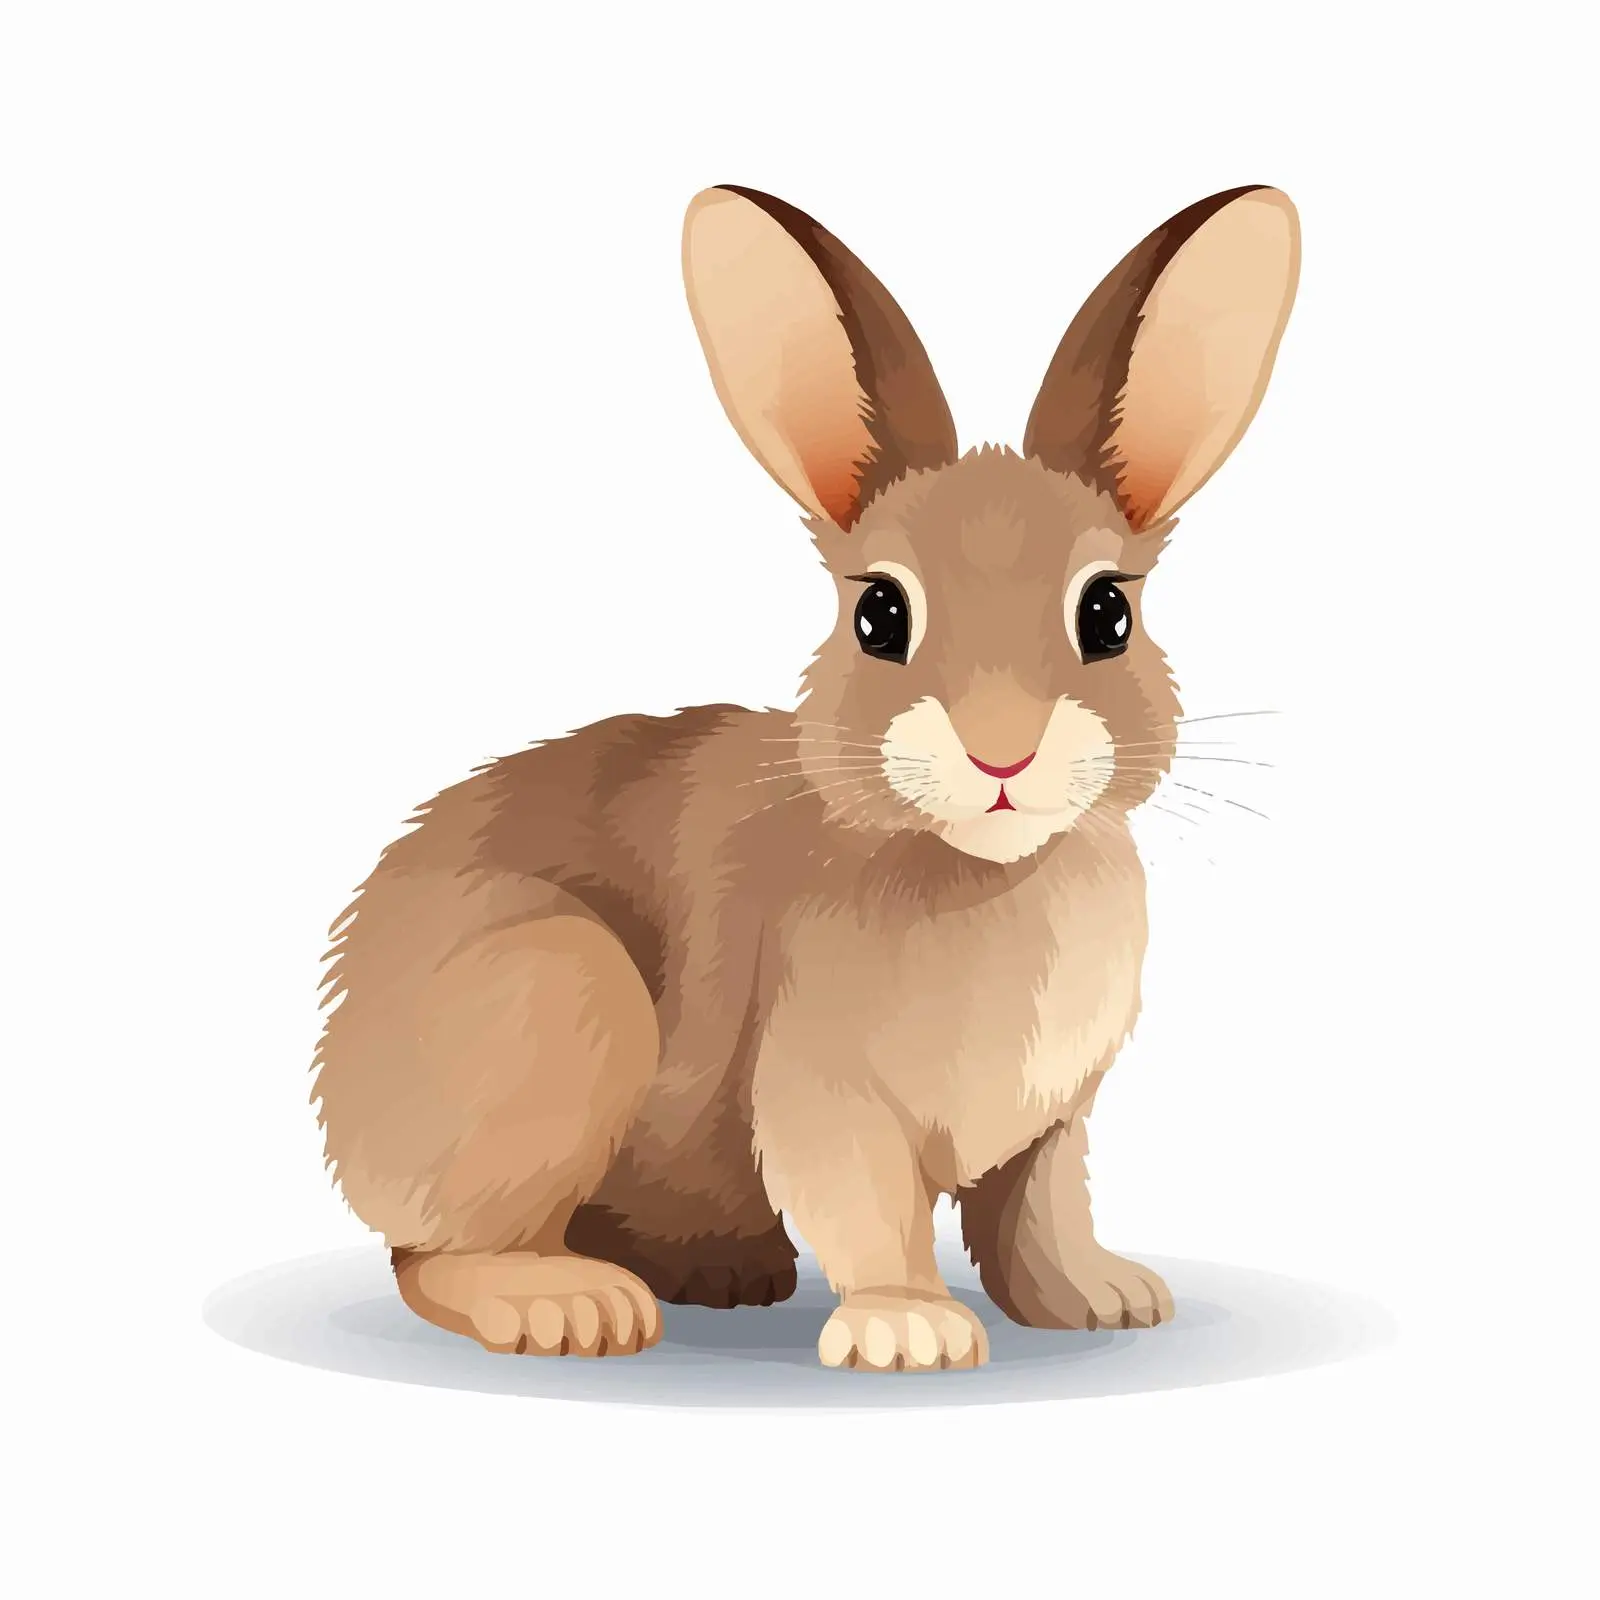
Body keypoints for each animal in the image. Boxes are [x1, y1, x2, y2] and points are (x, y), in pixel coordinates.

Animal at [311, 182, 1300, 1370]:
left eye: (1107, 612)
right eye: (879, 614)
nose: (1002, 751)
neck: (993, 873)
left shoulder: (1052, 1123)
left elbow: (1039, 1215)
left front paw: (1100, 1298)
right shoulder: (823, 1092)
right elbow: (868, 1208)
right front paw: (909, 1330)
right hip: (558, 994)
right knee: (433, 1254)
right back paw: (569, 1305)